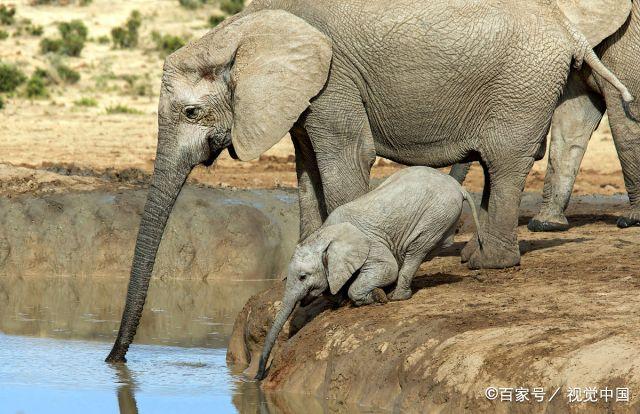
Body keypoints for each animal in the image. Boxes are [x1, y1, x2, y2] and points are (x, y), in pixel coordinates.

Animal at [254, 167, 480, 380]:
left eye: (303, 277)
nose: (258, 376)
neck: (325, 234)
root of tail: (459, 187)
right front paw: (342, 299)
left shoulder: (370, 243)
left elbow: (387, 268)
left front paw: (375, 297)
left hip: (436, 215)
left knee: (416, 250)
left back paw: (395, 296)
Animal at [450, 0, 640, 233]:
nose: (457, 229)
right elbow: (570, 124)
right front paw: (545, 224)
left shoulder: (627, 42)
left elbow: (626, 124)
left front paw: (632, 220)